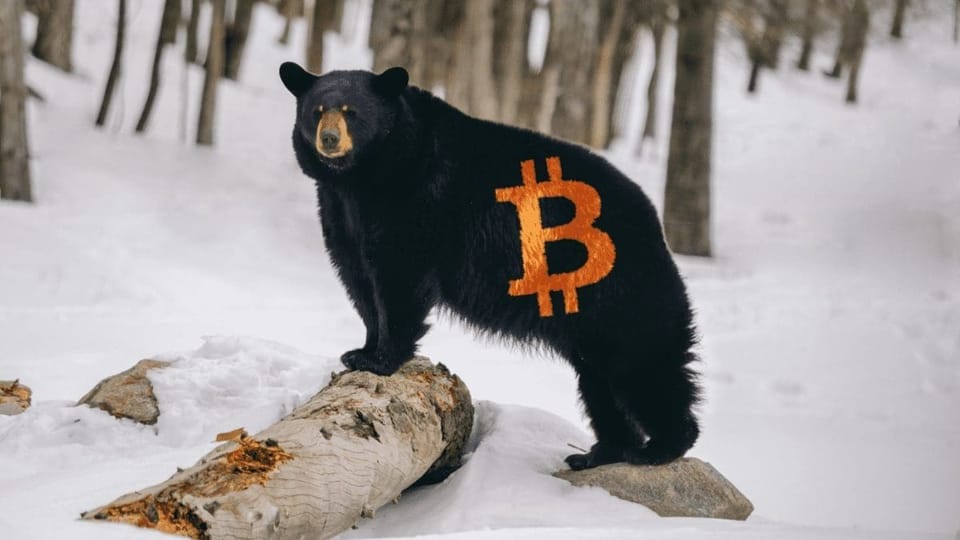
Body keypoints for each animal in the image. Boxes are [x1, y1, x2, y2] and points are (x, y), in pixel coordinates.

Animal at [279, 63, 701, 470]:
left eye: (351, 111)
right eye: (317, 110)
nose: (329, 139)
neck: (364, 176)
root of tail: (656, 232)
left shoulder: (416, 201)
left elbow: (400, 279)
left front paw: (380, 359)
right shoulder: (341, 212)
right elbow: (359, 281)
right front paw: (359, 350)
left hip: (620, 294)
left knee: (643, 370)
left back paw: (660, 447)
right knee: (601, 383)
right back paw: (598, 453)